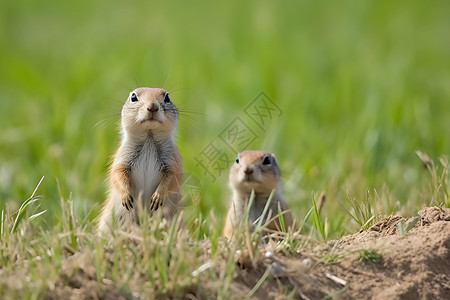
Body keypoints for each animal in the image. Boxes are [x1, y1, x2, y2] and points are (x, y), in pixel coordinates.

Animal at [97, 88, 182, 233]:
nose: (152, 106)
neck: (149, 137)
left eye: (167, 97)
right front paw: (126, 196)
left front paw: (158, 196)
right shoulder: (122, 157)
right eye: (133, 97)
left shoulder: (173, 160)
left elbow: (173, 177)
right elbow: (117, 174)